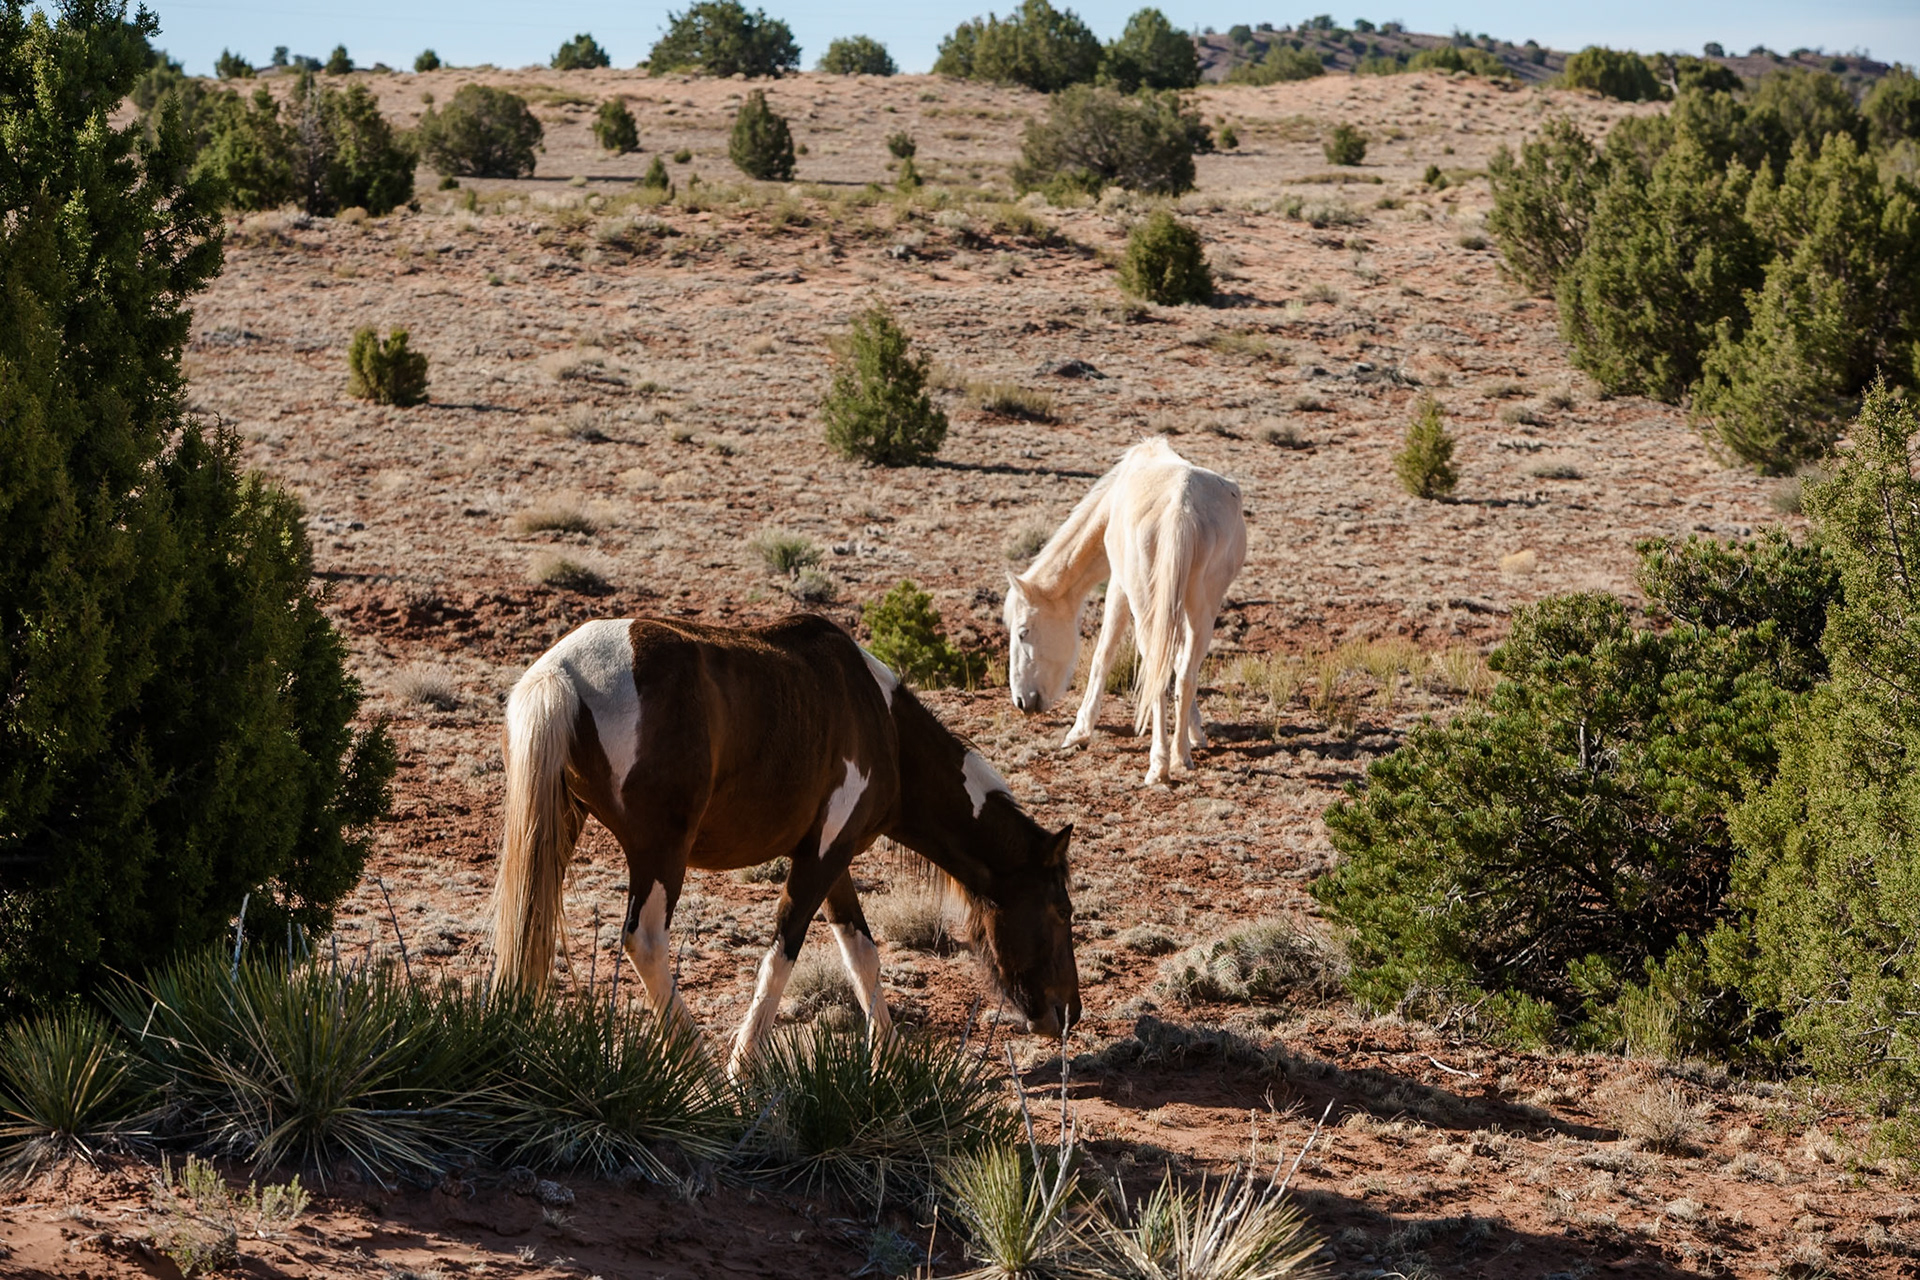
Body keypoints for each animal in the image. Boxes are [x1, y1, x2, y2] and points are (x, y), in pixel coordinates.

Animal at [490, 613, 1080, 1077]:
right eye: (1061, 911)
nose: (1069, 1013)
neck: (880, 722)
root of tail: (563, 671)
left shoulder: (832, 858)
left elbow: (861, 953)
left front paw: (891, 1058)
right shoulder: (820, 859)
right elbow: (783, 953)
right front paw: (741, 1067)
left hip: (560, 829)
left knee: (529, 923)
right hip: (660, 853)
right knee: (646, 942)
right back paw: (702, 1070)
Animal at [1003, 437, 1247, 786]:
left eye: (1023, 632)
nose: (1022, 702)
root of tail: (1181, 506)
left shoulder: (1119, 587)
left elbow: (1103, 654)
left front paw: (1079, 730)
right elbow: (1178, 664)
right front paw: (1194, 731)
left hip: (1146, 604)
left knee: (1156, 669)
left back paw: (1159, 765)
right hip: (1203, 608)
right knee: (1185, 672)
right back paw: (1180, 756)